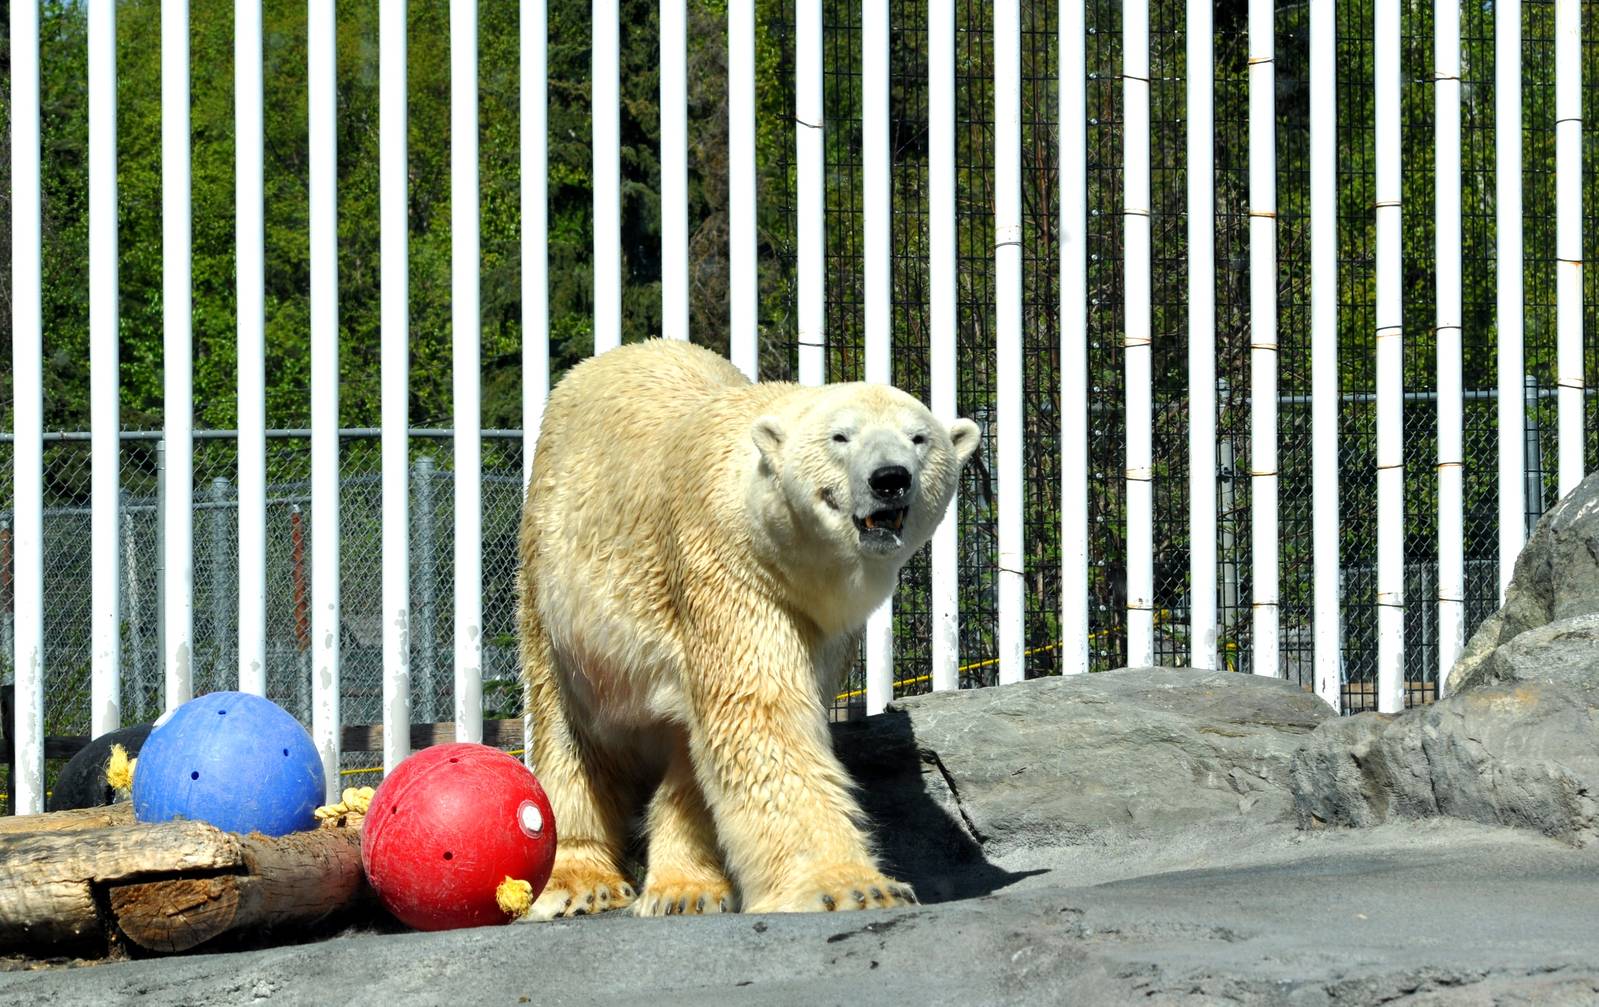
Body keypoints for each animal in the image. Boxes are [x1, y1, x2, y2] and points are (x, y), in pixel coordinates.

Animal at [518, 339, 980, 917]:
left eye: (919, 438)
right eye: (841, 436)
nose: (890, 478)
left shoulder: (822, 625)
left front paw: (693, 888)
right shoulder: (727, 564)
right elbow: (760, 713)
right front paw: (851, 887)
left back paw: (684, 888)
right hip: (554, 589)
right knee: (569, 728)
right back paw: (582, 882)